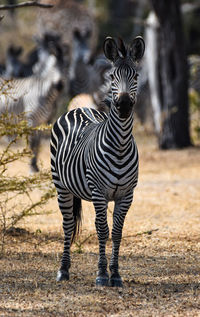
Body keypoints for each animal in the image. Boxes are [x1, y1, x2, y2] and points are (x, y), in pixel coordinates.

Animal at [0, 33, 64, 172]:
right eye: (52, 68)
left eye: (65, 66)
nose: (60, 86)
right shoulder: (31, 119)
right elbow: (32, 143)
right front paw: (31, 166)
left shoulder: (44, 121)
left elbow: (38, 143)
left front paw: (35, 165)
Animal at [49, 35, 144, 286]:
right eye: (112, 77)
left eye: (136, 76)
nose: (123, 105)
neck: (120, 145)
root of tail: (80, 106)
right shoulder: (99, 192)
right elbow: (103, 231)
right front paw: (102, 275)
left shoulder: (126, 195)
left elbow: (117, 232)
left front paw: (116, 275)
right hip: (61, 186)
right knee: (68, 225)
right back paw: (63, 270)